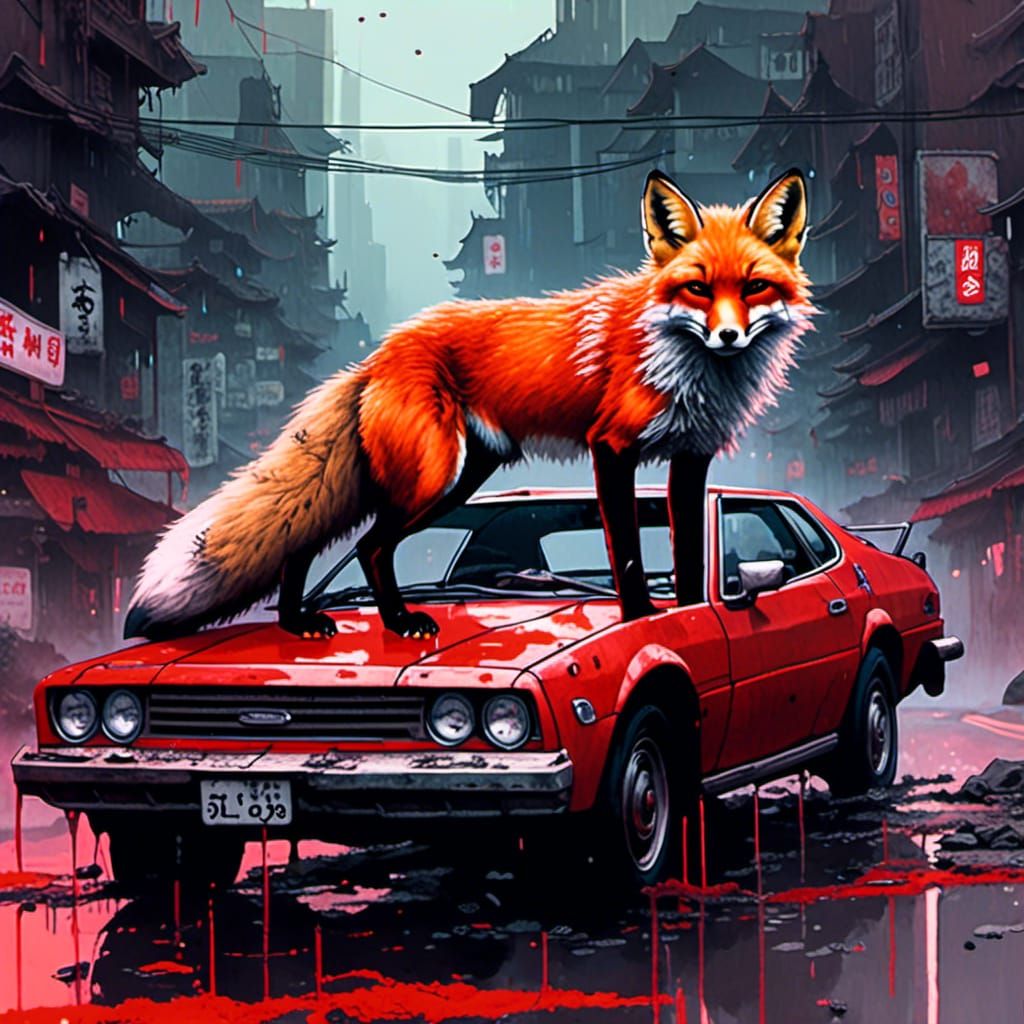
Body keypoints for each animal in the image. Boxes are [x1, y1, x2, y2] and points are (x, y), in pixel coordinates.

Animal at [125, 168, 815, 642]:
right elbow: (625, 552)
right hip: (431, 477)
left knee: (307, 537)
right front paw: (643, 620)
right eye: (697, 288)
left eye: (754, 286)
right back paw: (397, 620)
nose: (728, 337)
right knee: (368, 546)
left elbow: (689, 553)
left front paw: (695, 618)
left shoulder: (691, 457)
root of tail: (379, 356)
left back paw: (300, 622)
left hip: (455, 478)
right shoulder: (612, 449)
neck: (685, 366)